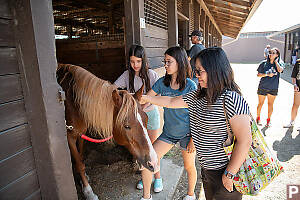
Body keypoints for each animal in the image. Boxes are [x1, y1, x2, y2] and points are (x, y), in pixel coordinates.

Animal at [56, 64, 159, 200]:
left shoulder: (81, 134)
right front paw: (88, 191)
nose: (154, 162)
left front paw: (83, 180)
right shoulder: (69, 137)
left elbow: (81, 157)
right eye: (126, 126)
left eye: (146, 119)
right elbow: (79, 163)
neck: (73, 103)